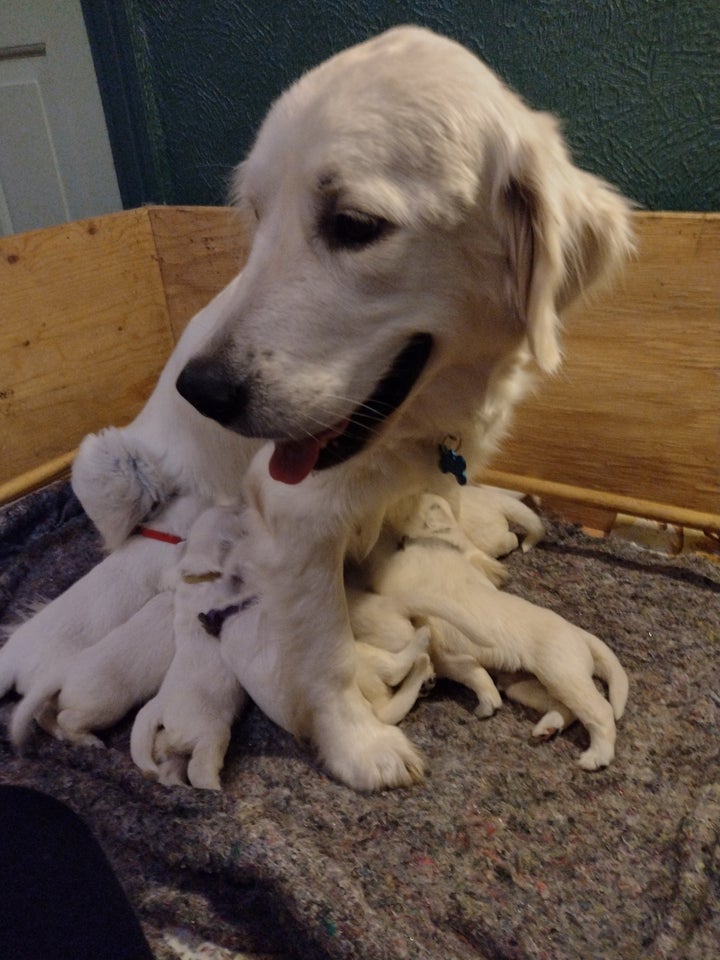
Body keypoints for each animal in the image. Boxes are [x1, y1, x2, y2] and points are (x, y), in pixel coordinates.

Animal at [4, 28, 632, 788]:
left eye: (354, 224)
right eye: (256, 214)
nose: (200, 390)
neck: (410, 427)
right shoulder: (296, 522)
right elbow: (326, 655)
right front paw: (360, 749)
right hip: (108, 465)